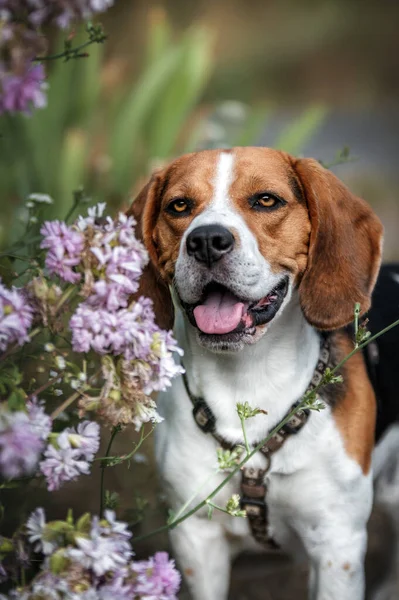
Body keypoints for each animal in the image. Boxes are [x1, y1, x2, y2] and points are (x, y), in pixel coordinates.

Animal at [130, 146, 399, 600]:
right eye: (179, 206)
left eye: (266, 200)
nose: (206, 241)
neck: (248, 378)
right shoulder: (196, 538)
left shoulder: (337, 543)